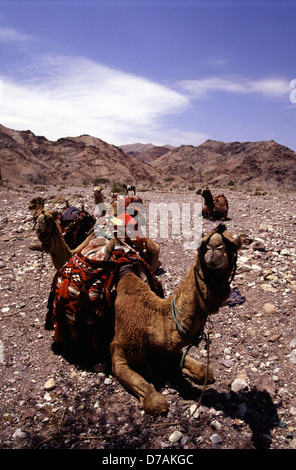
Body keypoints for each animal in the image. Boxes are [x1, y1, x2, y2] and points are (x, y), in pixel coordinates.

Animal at [110, 224, 242, 414]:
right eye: (202, 244)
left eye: (233, 245)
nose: (215, 248)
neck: (150, 320)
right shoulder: (118, 355)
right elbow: (156, 400)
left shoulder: (167, 348)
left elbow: (206, 371)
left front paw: (178, 371)